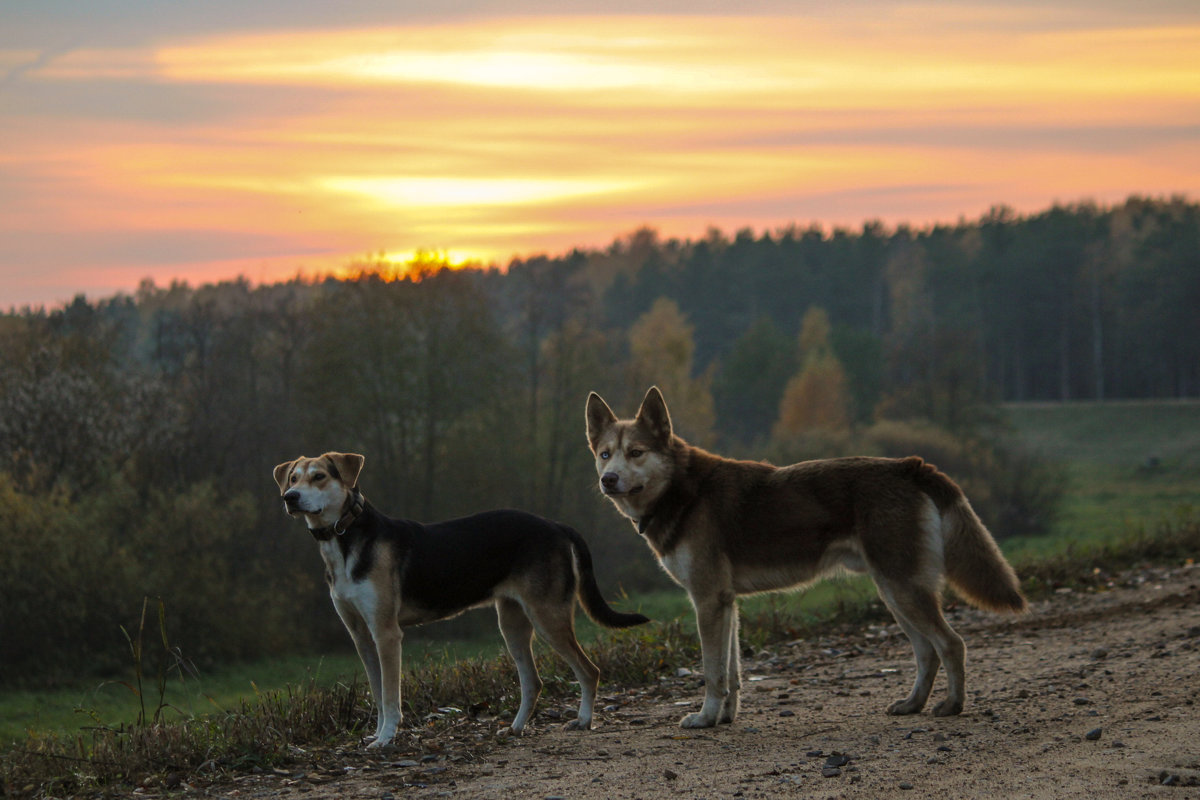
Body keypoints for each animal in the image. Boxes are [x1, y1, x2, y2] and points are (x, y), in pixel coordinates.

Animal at [274, 453, 648, 748]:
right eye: (293, 478)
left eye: (319, 477)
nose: (290, 497)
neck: (344, 538)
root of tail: (556, 525)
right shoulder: (362, 637)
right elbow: (378, 695)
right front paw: (378, 734)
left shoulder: (386, 633)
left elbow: (391, 696)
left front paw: (387, 738)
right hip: (512, 623)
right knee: (533, 681)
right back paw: (515, 728)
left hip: (548, 618)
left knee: (589, 671)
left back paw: (583, 720)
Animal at [585, 383, 1027, 729]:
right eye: (605, 454)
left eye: (636, 452)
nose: (607, 480)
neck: (682, 491)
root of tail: (910, 465)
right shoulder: (727, 604)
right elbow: (733, 673)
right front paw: (725, 717)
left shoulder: (708, 601)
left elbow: (713, 673)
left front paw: (705, 717)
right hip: (894, 593)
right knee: (926, 652)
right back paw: (912, 704)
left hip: (904, 591)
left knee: (952, 644)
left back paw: (952, 706)